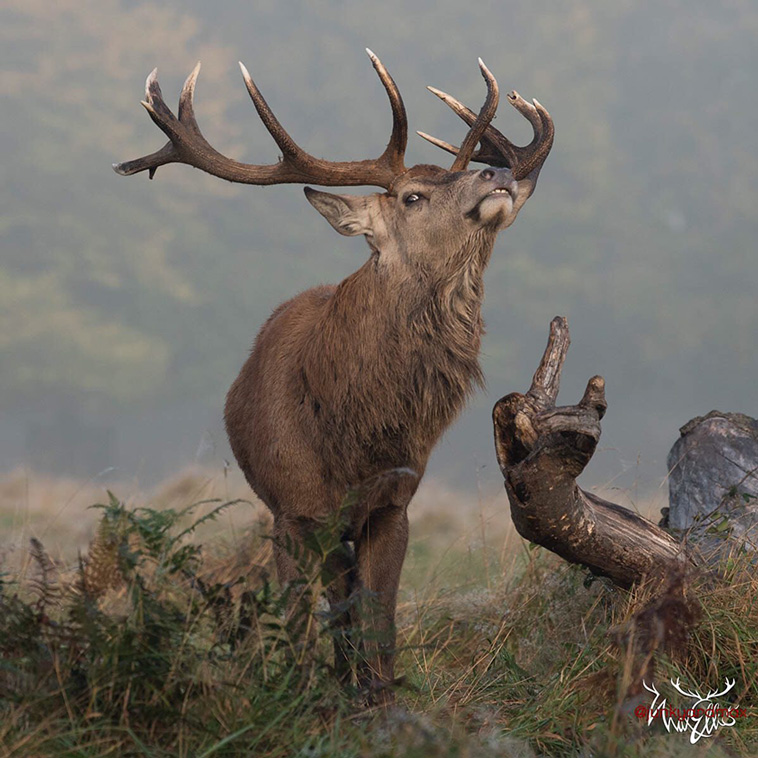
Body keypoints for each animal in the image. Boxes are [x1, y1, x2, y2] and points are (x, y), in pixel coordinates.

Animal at [114, 50, 553, 703]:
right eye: (413, 197)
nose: (497, 173)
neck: (350, 434)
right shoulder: (292, 510)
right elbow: (298, 625)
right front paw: (298, 702)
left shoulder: (393, 503)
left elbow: (380, 620)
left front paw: (380, 701)